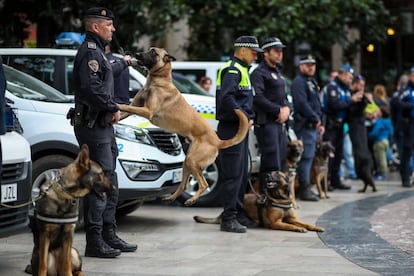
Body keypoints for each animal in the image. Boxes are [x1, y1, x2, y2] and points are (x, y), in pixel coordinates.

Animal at [26, 144, 112, 276]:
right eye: (101, 174)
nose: (113, 187)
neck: (65, 195)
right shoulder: (45, 235)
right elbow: (43, 264)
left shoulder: (68, 235)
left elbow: (66, 264)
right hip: (40, 253)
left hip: (73, 252)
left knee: (74, 269)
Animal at [118, 47, 251, 206]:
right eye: (148, 50)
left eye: (154, 52)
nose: (137, 54)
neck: (158, 81)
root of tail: (218, 141)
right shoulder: (134, 107)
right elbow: (125, 110)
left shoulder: (147, 111)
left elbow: (125, 107)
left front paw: (115, 104)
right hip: (187, 162)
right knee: (184, 185)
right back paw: (171, 198)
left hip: (192, 161)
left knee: (204, 184)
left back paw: (192, 199)